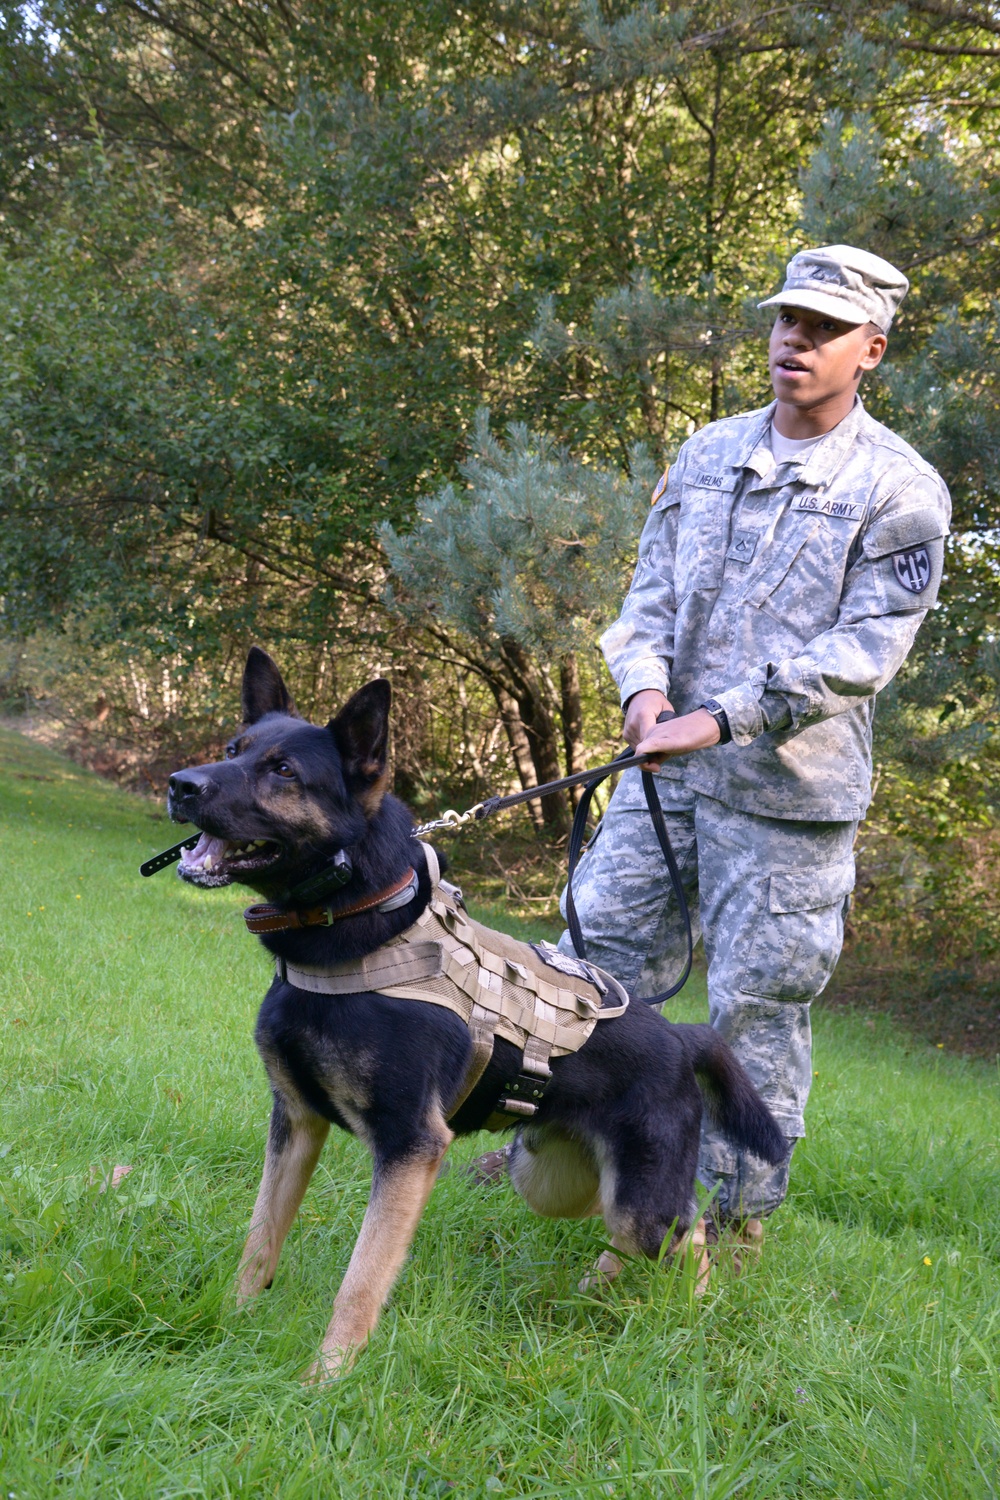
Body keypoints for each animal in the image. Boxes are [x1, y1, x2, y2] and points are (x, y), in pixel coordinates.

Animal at [166, 651, 791, 1374]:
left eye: (284, 771)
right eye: (232, 751)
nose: (179, 785)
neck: (357, 927)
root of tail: (682, 1038)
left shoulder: (410, 1146)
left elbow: (362, 1278)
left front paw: (328, 1377)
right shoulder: (295, 1121)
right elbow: (260, 1237)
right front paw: (234, 1320)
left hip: (638, 1202)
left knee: (686, 1236)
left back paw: (692, 1318)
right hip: (553, 1180)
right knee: (640, 1231)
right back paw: (597, 1289)